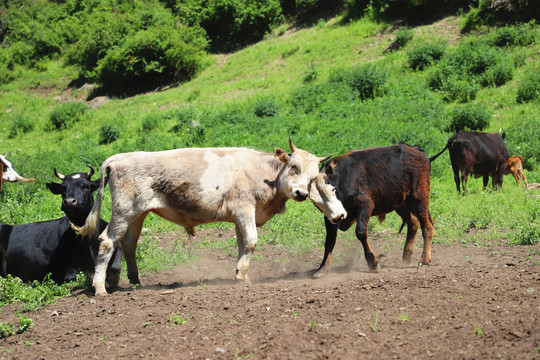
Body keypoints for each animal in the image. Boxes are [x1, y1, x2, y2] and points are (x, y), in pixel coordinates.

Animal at [75, 139, 338, 294]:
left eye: (313, 176)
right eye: (294, 167)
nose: (301, 193)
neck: (264, 175)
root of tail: (120, 157)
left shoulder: (239, 217)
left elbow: (242, 244)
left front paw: (240, 274)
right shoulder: (244, 209)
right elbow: (251, 241)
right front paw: (242, 276)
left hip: (137, 215)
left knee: (129, 244)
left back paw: (136, 283)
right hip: (123, 212)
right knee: (107, 242)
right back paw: (100, 288)